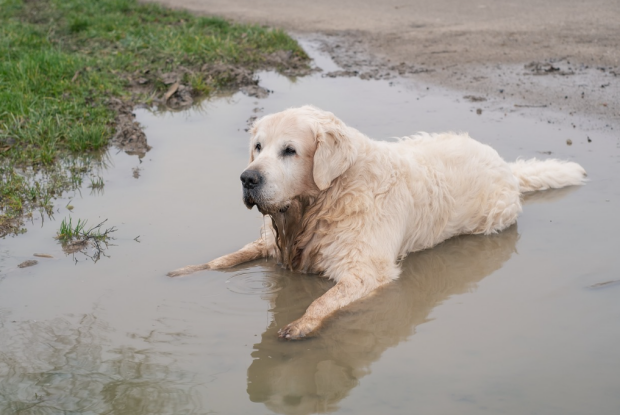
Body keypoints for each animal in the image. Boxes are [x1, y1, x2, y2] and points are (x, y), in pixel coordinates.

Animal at [168, 105, 588, 340]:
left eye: (289, 150)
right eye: (257, 147)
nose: (247, 178)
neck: (323, 200)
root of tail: (506, 166)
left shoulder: (365, 270)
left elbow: (323, 300)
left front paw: (301, 324)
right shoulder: (273, 242)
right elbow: (226, 258)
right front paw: (188, 271)